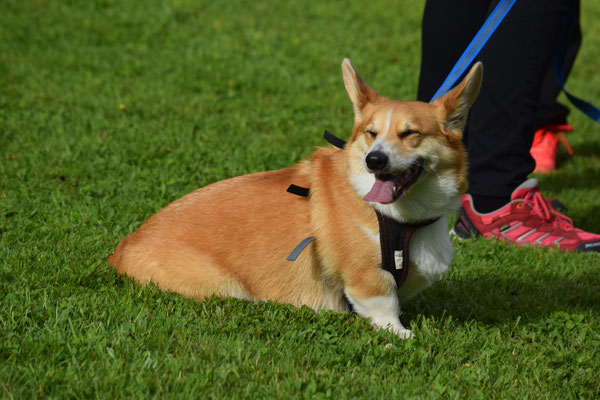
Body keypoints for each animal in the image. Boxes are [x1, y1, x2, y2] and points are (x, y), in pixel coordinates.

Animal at [109, 59, 482, 340]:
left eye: (410, 133)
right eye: (371, 133)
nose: (374, 160)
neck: (400, 218)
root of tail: (123, 249)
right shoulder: (366, 276)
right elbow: (384, 301)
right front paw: (402, 334)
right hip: (221, 285)